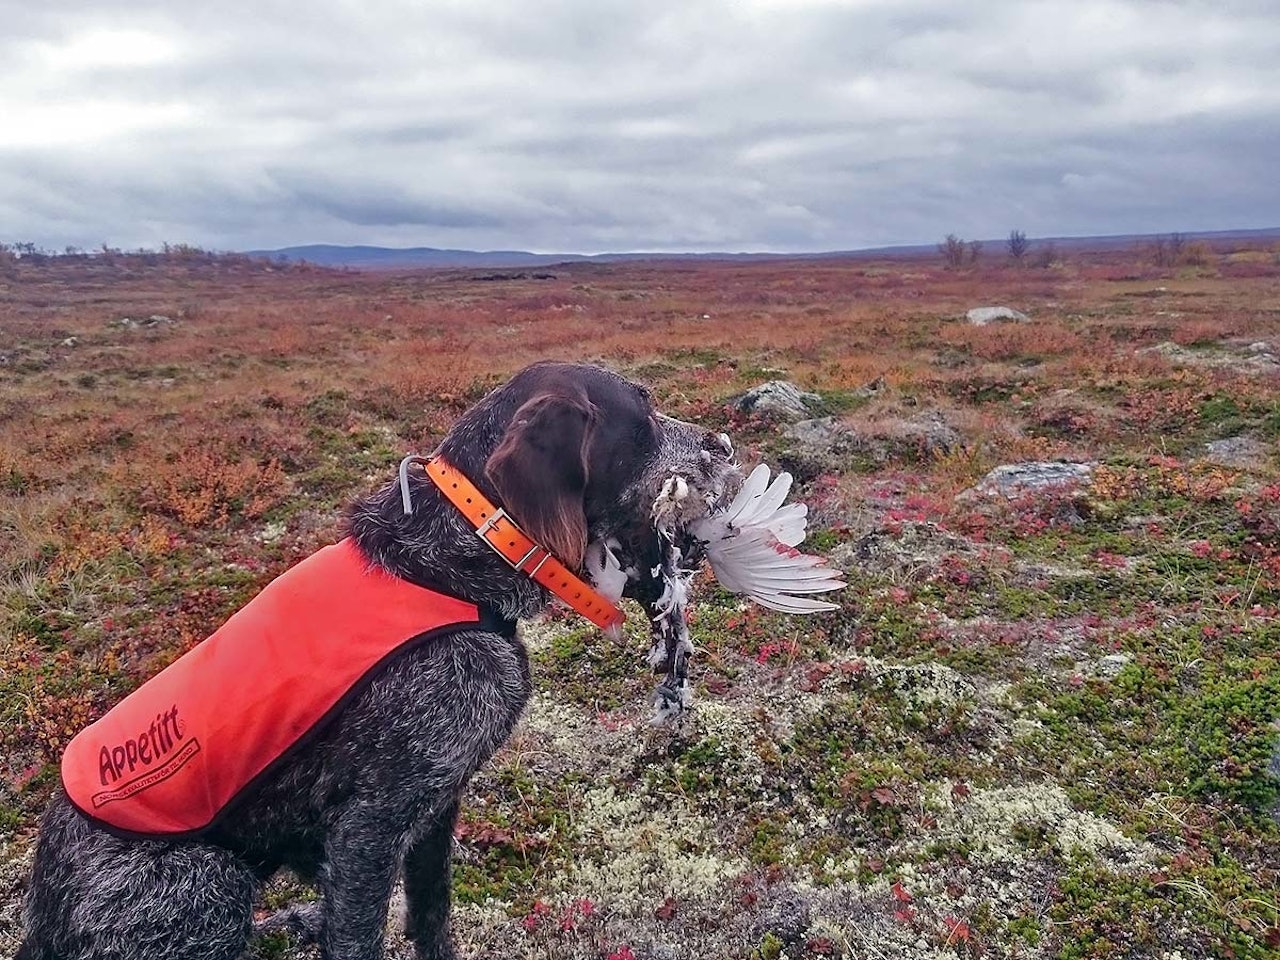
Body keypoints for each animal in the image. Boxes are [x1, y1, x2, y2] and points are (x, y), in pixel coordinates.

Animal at [17, 363, 742, 960]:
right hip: (206, 884)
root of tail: (40, 923)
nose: (725, 446)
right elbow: (362, 932)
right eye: (642, 411)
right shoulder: (369, 827)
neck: (449, 567)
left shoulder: (437, 804)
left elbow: (432, 919)